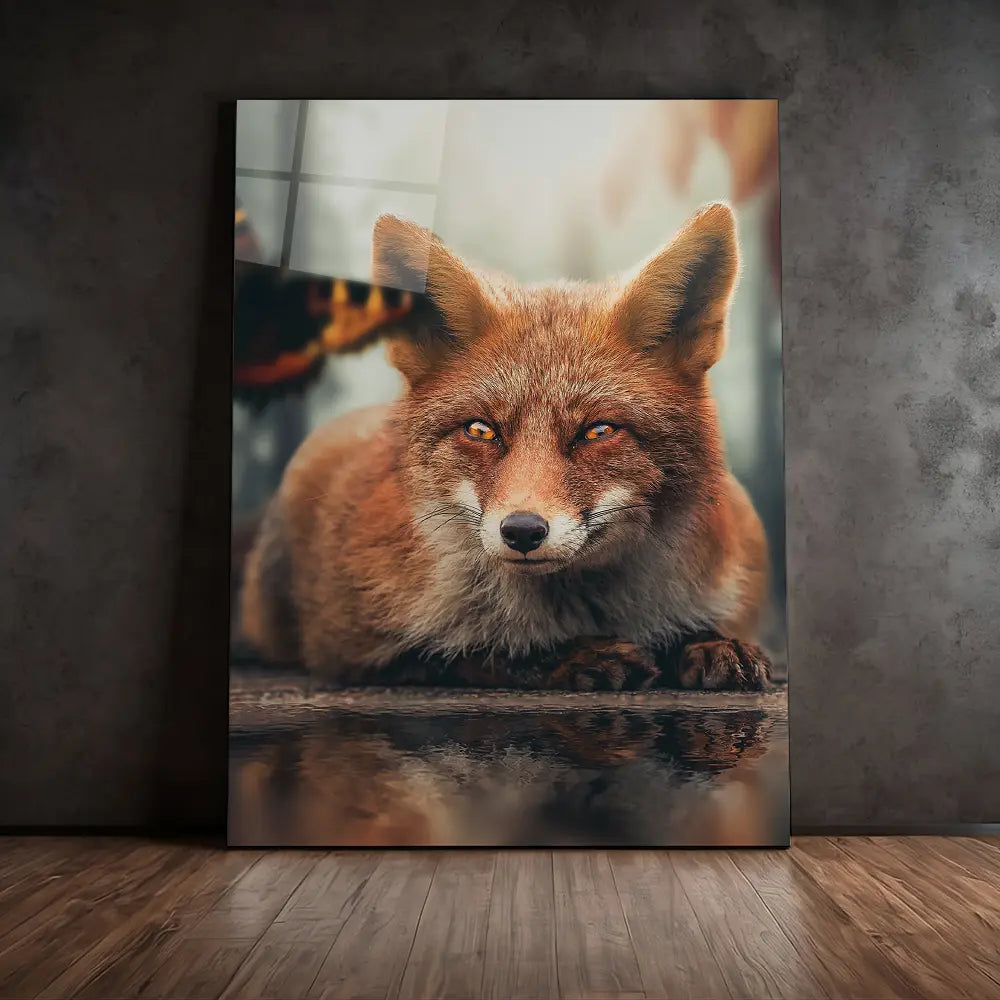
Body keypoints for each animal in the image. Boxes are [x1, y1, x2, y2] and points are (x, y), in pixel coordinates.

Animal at [239, 203, 774, 691]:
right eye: (481, 431)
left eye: (598, 432)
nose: (522, 531)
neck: (586, 609)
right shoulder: (352, 646)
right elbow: (471, 652)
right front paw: (568, 656)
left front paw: (707, 641)